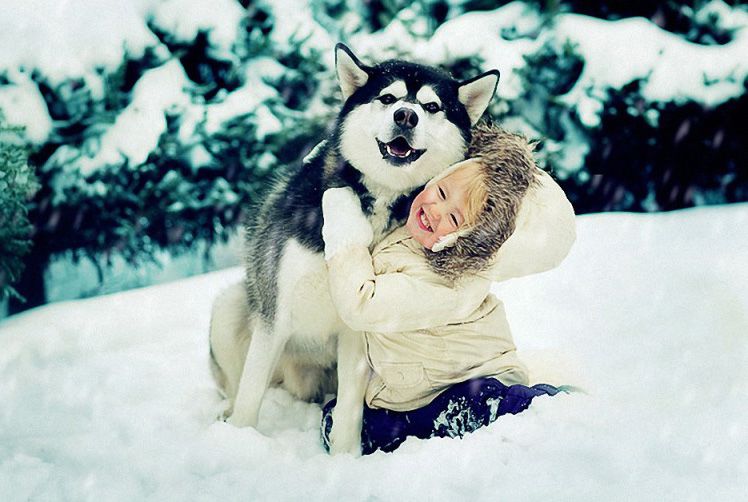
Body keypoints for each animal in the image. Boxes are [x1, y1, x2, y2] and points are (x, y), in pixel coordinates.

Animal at [209, 43, 499, 454]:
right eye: (388, 98)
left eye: (431, 106)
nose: (406, 115)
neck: (376, 195)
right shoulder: (275, 311)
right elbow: (250, 394)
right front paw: (237, 443)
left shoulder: (360, 326)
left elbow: (348, 408)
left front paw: (345, 457)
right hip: (232, 306)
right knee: (239, 386)